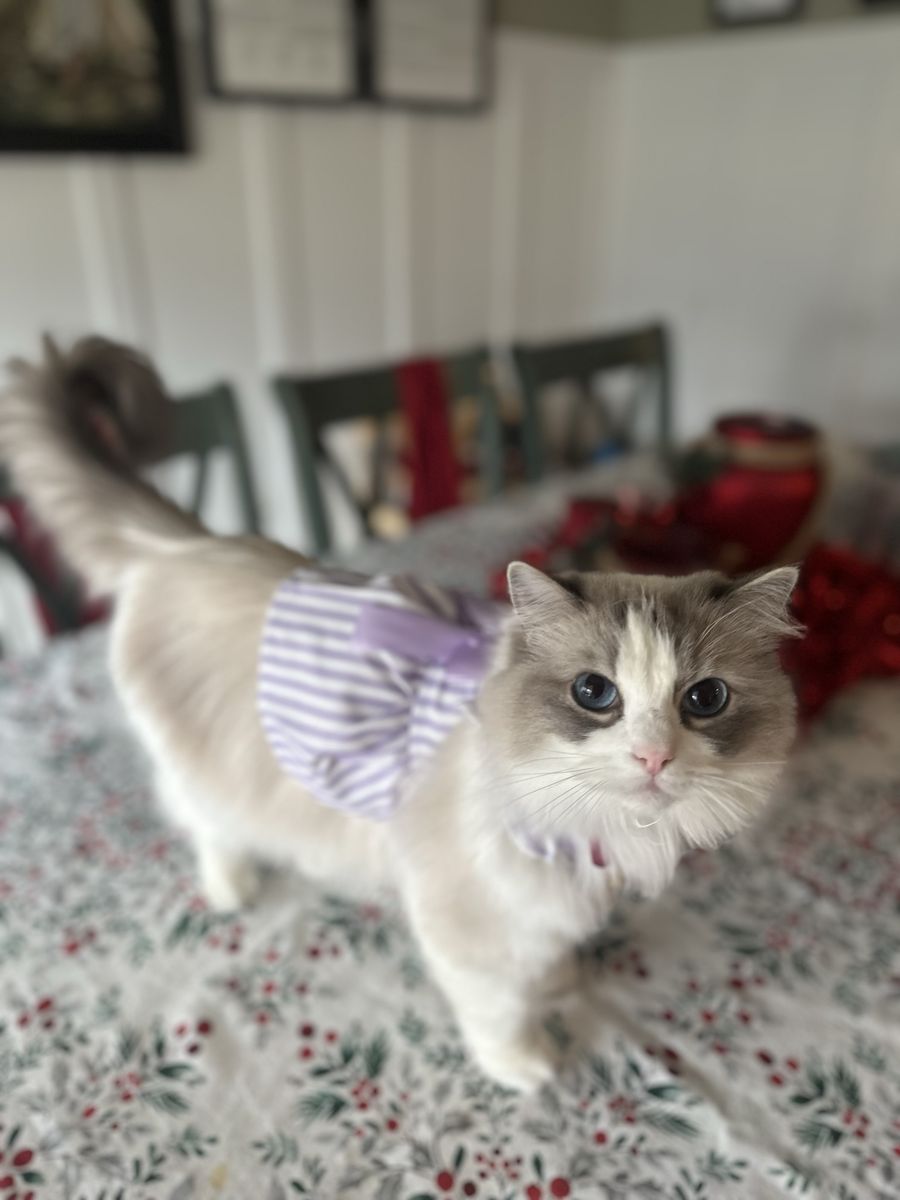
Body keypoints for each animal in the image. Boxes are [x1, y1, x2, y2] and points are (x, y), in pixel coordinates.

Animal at [0, 337, 800, 1090]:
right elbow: (500, 1007)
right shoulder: (470, 925)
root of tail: (188, 542)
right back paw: (233, 886)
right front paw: (526, 1064)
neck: (591, 830)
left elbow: (546, 960)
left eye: (704, 700)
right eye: (595, 694)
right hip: (205, 765)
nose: (653, 756)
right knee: (202, 820)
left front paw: (561, 981)